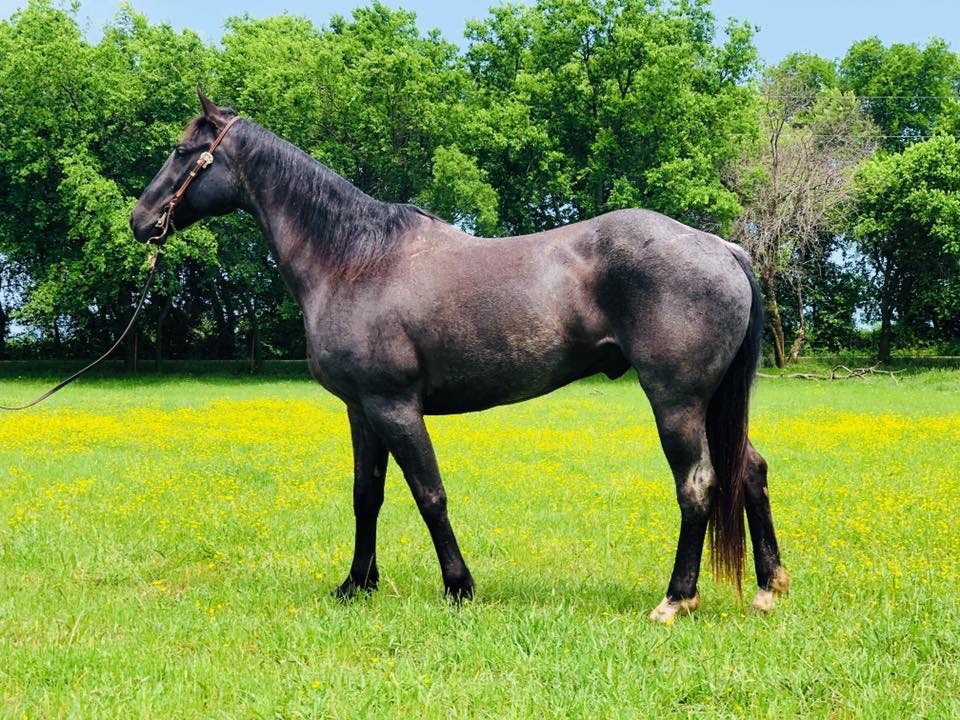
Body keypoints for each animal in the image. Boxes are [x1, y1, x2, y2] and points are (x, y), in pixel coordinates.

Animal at [131, 93, 788, 624]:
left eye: (183, 149)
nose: (140, 219)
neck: (355, 259)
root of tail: (722, 247)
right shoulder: (361, 411)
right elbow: (366, 495)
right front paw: (356, 584)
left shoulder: (394, 407)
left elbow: (430, 495)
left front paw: (458, 587)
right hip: (712, 404)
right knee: (749, 469)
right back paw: (768, 588)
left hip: (676, 401)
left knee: (697, 485)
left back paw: (676, 599)